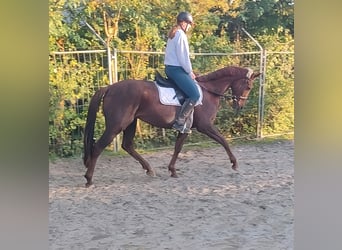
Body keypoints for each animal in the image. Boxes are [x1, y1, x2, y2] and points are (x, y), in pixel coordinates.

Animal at [84, 65, 260, 187]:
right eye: (249, 87)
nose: (240, 106)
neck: (209, 92)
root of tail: (109, 87)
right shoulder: (205, 126)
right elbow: (223, 141)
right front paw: (234, 163)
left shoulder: (185, 128)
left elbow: (177, 148)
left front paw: (172, 170)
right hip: (117, 125)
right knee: (98, 147)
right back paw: (89, 179)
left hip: (130, 123)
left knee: (127, 145)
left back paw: (149, 169)